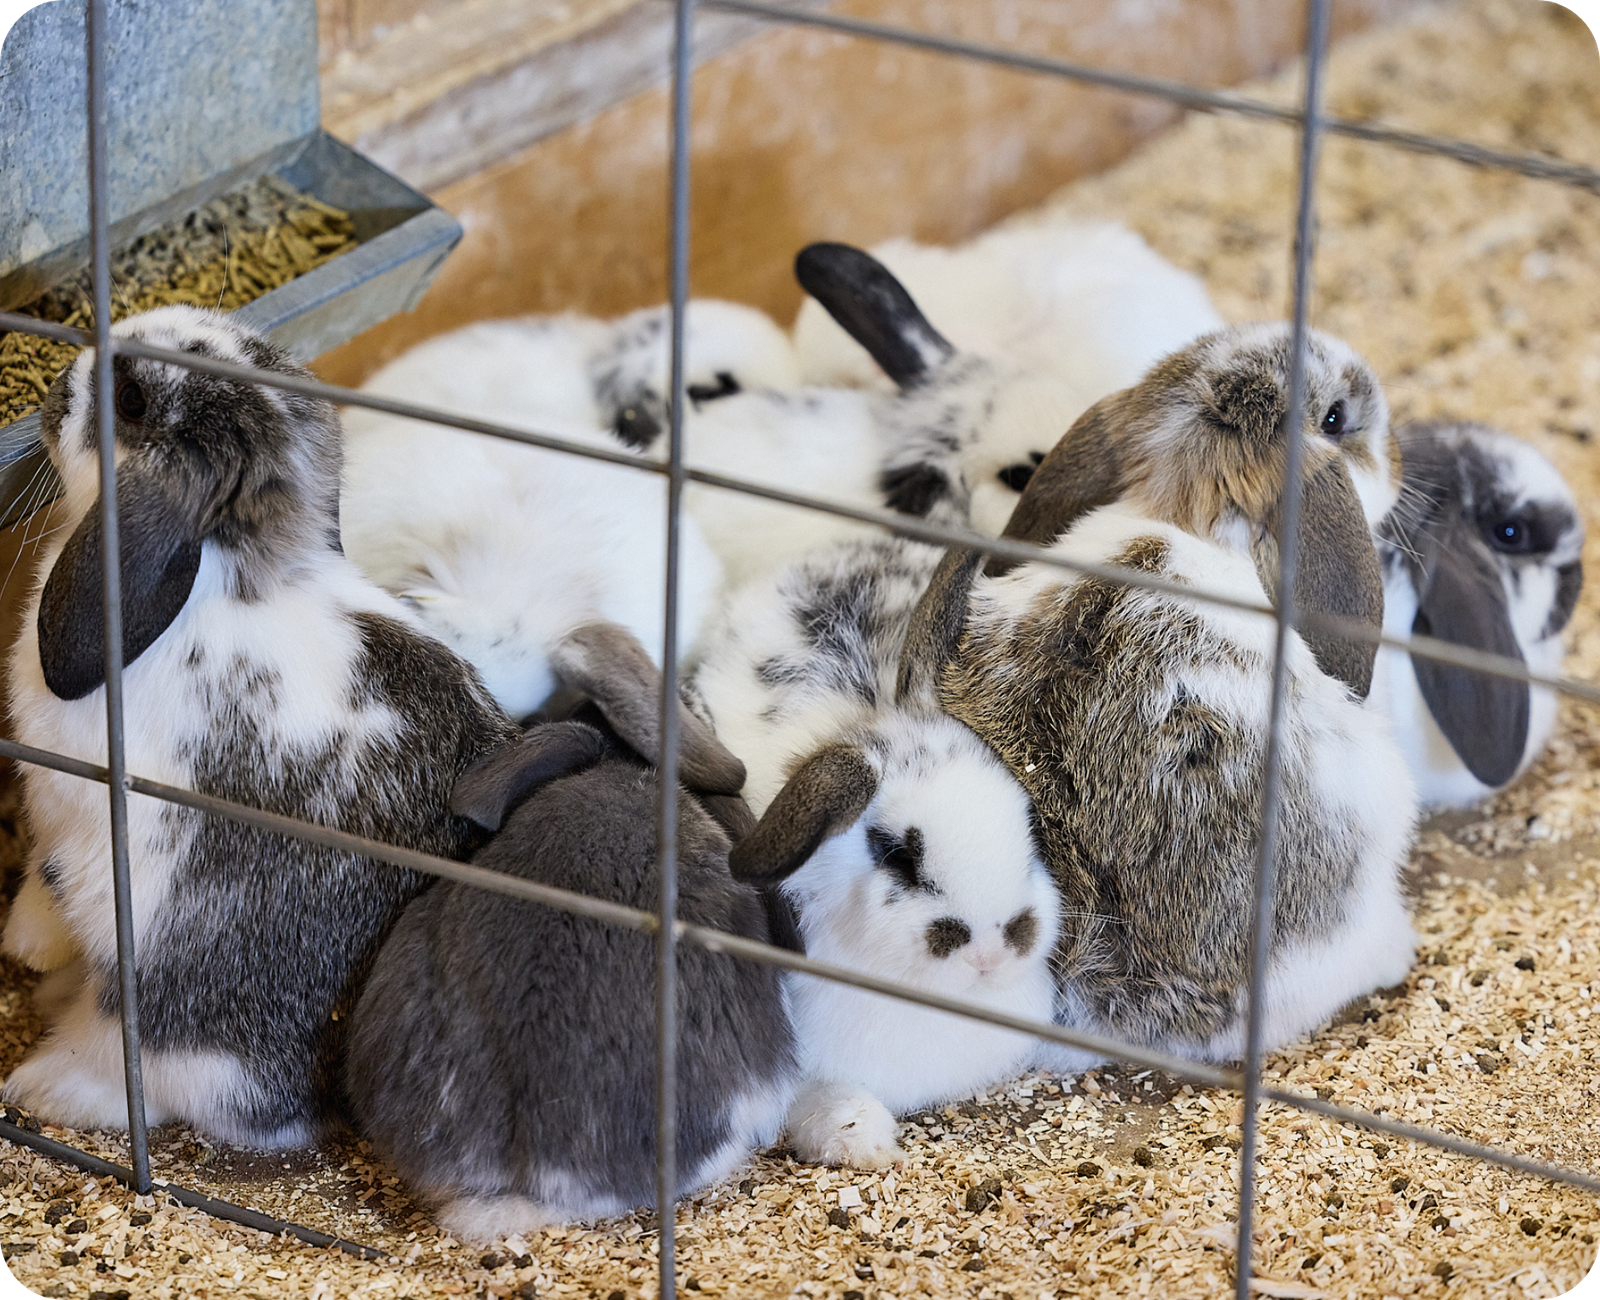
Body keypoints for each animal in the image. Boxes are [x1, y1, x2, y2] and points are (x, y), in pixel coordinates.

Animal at [1, 305, 521, 1147]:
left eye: (132, 400)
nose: (63, 381)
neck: (221, 572)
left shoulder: (75, 817)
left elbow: (50, 885)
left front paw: (22, 949)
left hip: (166, 1003)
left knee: (125, 1066)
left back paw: (40, 1084)